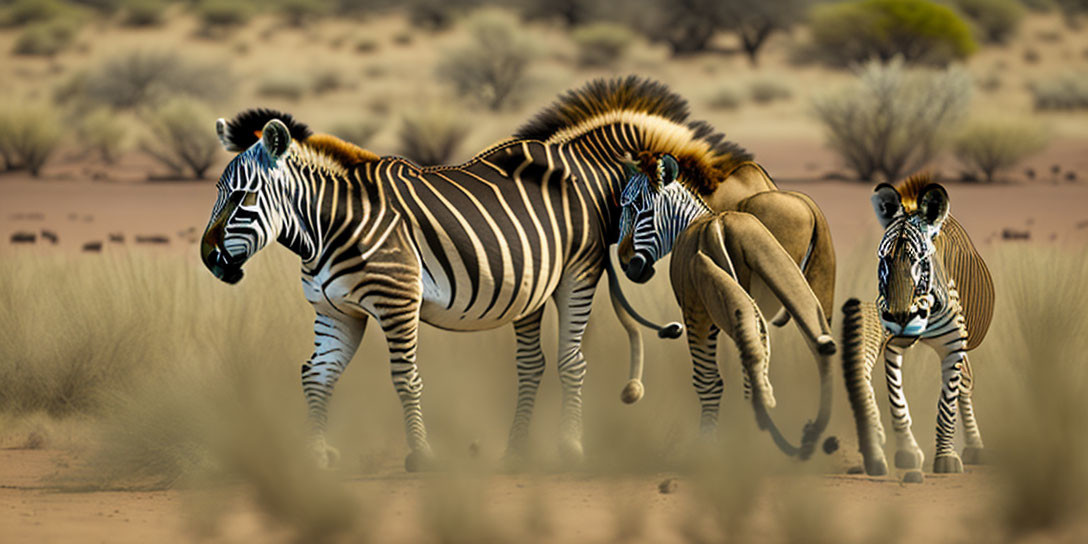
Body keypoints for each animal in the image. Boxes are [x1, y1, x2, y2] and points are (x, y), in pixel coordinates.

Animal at [202, 75, 809, 467]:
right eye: (220, 193)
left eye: (242, 197)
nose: (208, 260)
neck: (328, 226)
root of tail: (575, 154)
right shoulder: (337, 312)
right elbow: (316, 376)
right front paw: (317, 456)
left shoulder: (397, 300)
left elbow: (405, 376)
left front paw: (421, 456)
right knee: (534, 365)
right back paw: (518, 452)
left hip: (571, 277)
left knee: (567, 361)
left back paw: (567, 449)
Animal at [617, 154, 835, 459]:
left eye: (641, 210)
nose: (627, 265)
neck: (700, 218)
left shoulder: (699, 313)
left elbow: (710, 380)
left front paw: (710, 443)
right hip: (806, 288)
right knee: (819, 348)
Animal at [839, 176, 996, 478]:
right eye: (884, 259)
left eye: (920, 261)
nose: (899, 317)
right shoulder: (892, 345)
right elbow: (897, 401)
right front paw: (906, 451)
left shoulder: (953, 346)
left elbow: (947, 404)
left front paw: (946, 457)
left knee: (966, 383)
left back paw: (974, 446)